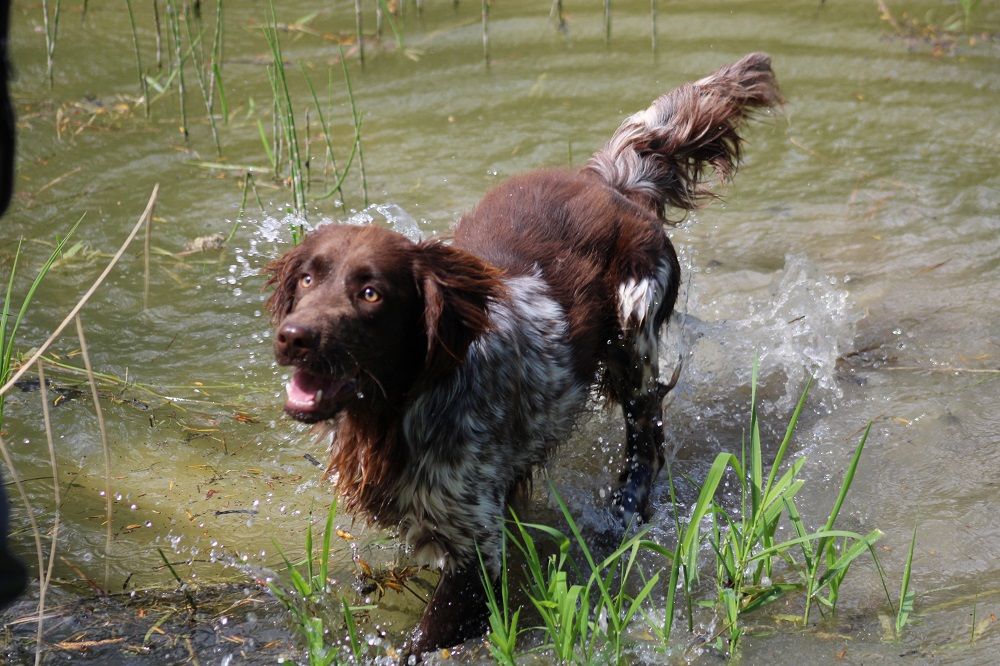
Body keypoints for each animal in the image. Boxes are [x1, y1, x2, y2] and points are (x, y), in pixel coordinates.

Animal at [266, 52, 780, 652]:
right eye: (306, 278)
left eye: (370, 293)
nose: (294, 336)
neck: (402, 410)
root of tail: (611, 183)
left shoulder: (474, 548)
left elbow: (427, 635)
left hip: (633, 335)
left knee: (645, 439)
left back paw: (624, 515)